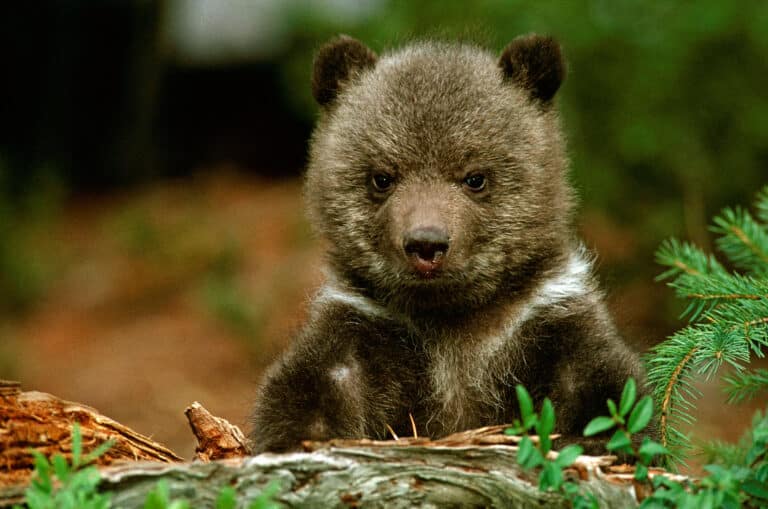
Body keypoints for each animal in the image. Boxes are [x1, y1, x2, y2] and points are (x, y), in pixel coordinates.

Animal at [249, 34, 650, 454]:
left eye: (475, 177)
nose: (426, 244)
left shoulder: (546, 317)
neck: (450, 320)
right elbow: (311, 387)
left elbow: (602, 391)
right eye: (382, 177)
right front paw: (300, 438)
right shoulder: (364, 322)